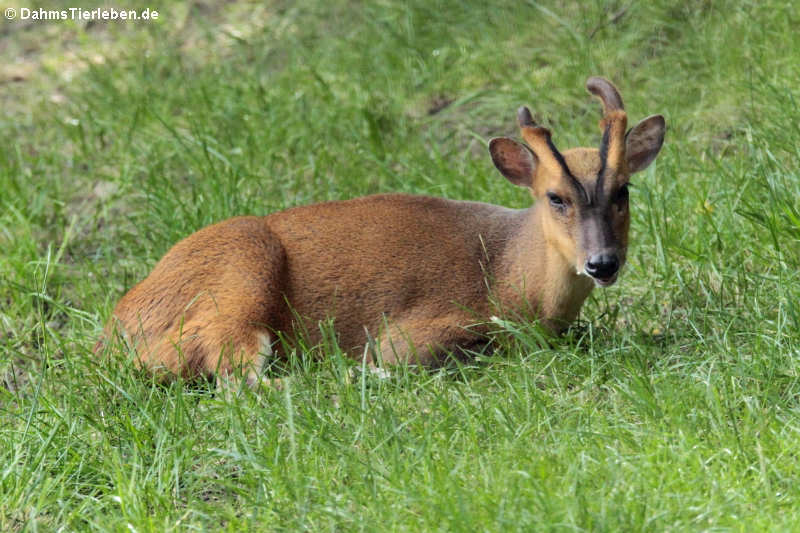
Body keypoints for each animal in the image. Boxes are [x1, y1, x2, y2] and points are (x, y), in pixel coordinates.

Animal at [97, 76, 664, 382]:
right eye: (556, 197)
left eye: (624, 190)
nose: (602, 263)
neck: (511, 275)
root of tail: (116, 334)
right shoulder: (422, 327)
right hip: (239, 278)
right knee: (238, 378)